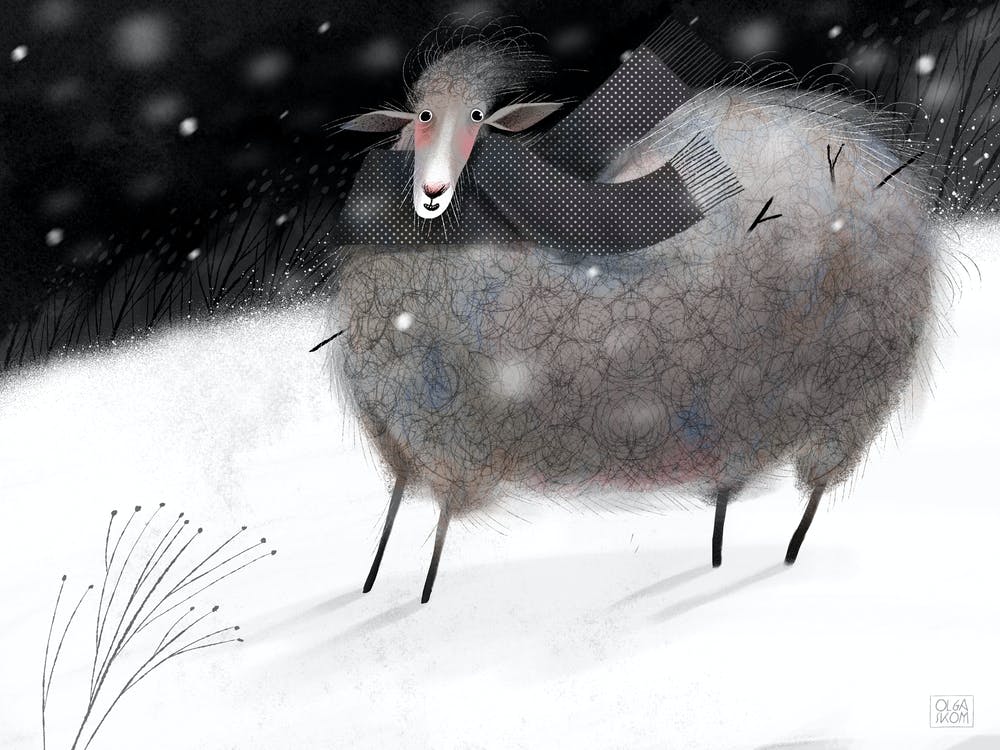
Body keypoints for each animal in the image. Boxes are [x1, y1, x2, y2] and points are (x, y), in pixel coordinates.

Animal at [331, 30, 937, 603]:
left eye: (478, 119)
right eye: (420, 117)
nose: (433, 192)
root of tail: (865, 156)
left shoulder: (453, 444)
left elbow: (438, 534)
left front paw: (422, 599)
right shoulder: (401, 439)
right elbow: (393, 514)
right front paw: (370, 585)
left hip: (853, 398)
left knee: (814, 493)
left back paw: (782, 559)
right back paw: (720, 550)